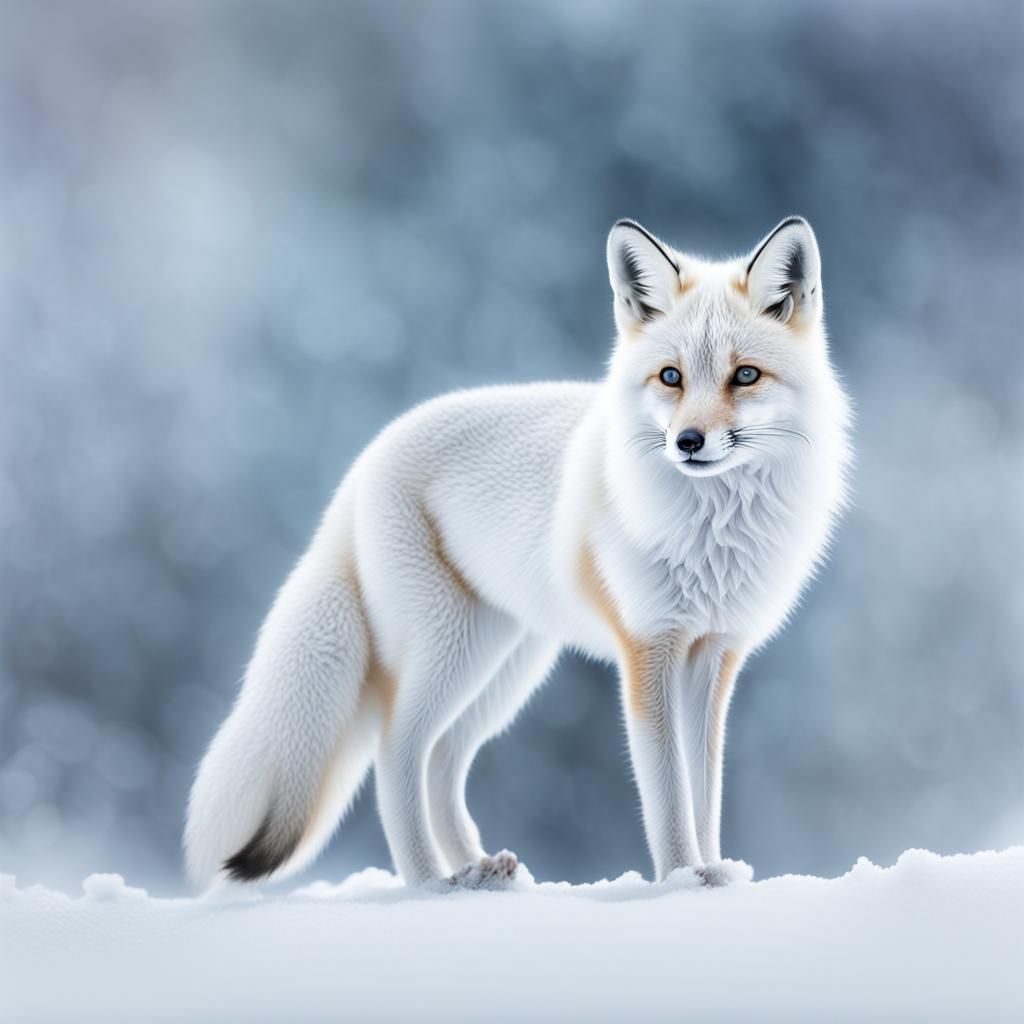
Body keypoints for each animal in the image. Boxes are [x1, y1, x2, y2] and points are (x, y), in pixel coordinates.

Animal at [185, 215, 851, 891]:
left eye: (745, 376)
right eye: (671, 377)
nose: (687, 442)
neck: (713, 533)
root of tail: (367, 459)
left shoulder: (714, 654)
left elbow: (705, 789)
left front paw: (712, 873)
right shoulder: (649, 648)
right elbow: (668, 792)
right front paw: (679, 878)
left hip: (506, 665)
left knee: (441, 760)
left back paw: (479, 870)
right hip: (452, 650)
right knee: (395, 751)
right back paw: (432, 883)